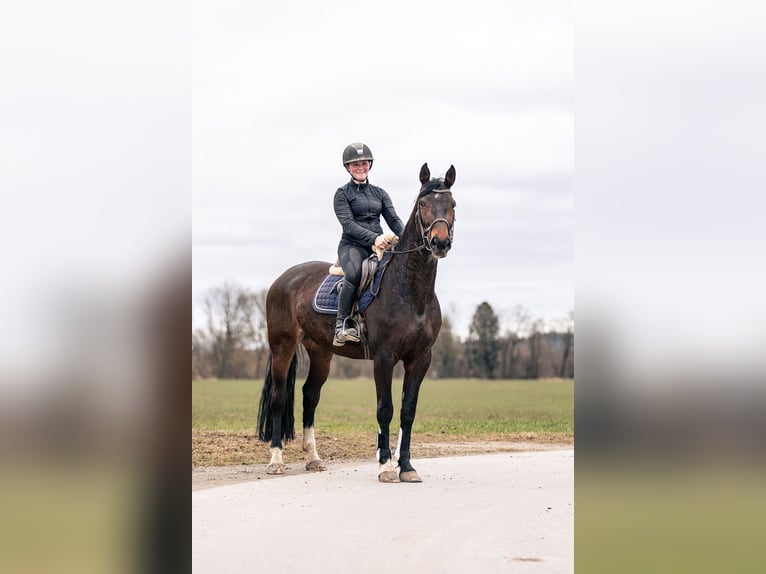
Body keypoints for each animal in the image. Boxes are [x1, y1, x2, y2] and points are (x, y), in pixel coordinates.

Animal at [258, 164, 460, 484]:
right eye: (423, 204)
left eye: (452, 204)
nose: (440, 243)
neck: (411, 291)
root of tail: (284, 278)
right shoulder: (384, 357)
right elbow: (385, 409)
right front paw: (386, 467)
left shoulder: (420, 359)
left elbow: (408, 411)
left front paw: (407, 467)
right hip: (283, 347)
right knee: (279, 397)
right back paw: (276, 460)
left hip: (321, 352)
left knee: (310, 396)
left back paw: (313, 458)